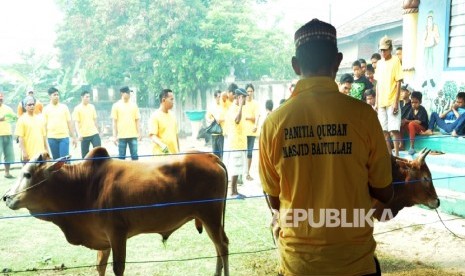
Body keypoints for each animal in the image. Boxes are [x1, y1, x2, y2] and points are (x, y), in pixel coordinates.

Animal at [2, 148, 230, 276]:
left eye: (27, 174)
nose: (6, 197)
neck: (83, 185)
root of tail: (211, 157)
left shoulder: (117, 234)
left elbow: (117, 268)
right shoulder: (104, 240)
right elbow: (100, 266)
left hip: (210, 215)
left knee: (223, 246)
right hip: (208, 218)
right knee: (218, 246)